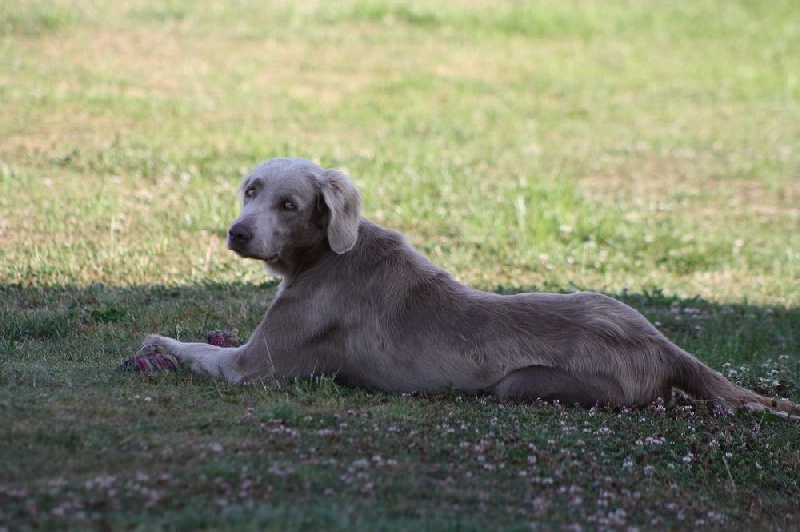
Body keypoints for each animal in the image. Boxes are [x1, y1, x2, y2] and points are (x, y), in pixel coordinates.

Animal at [144, 156, 800, 418]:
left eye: (288, 203)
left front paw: (156, 346)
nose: (237, 233)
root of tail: (663, 344)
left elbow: (196, 350)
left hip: (524, 385)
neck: (325, 254)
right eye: (251, 190)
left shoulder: (252, 367)